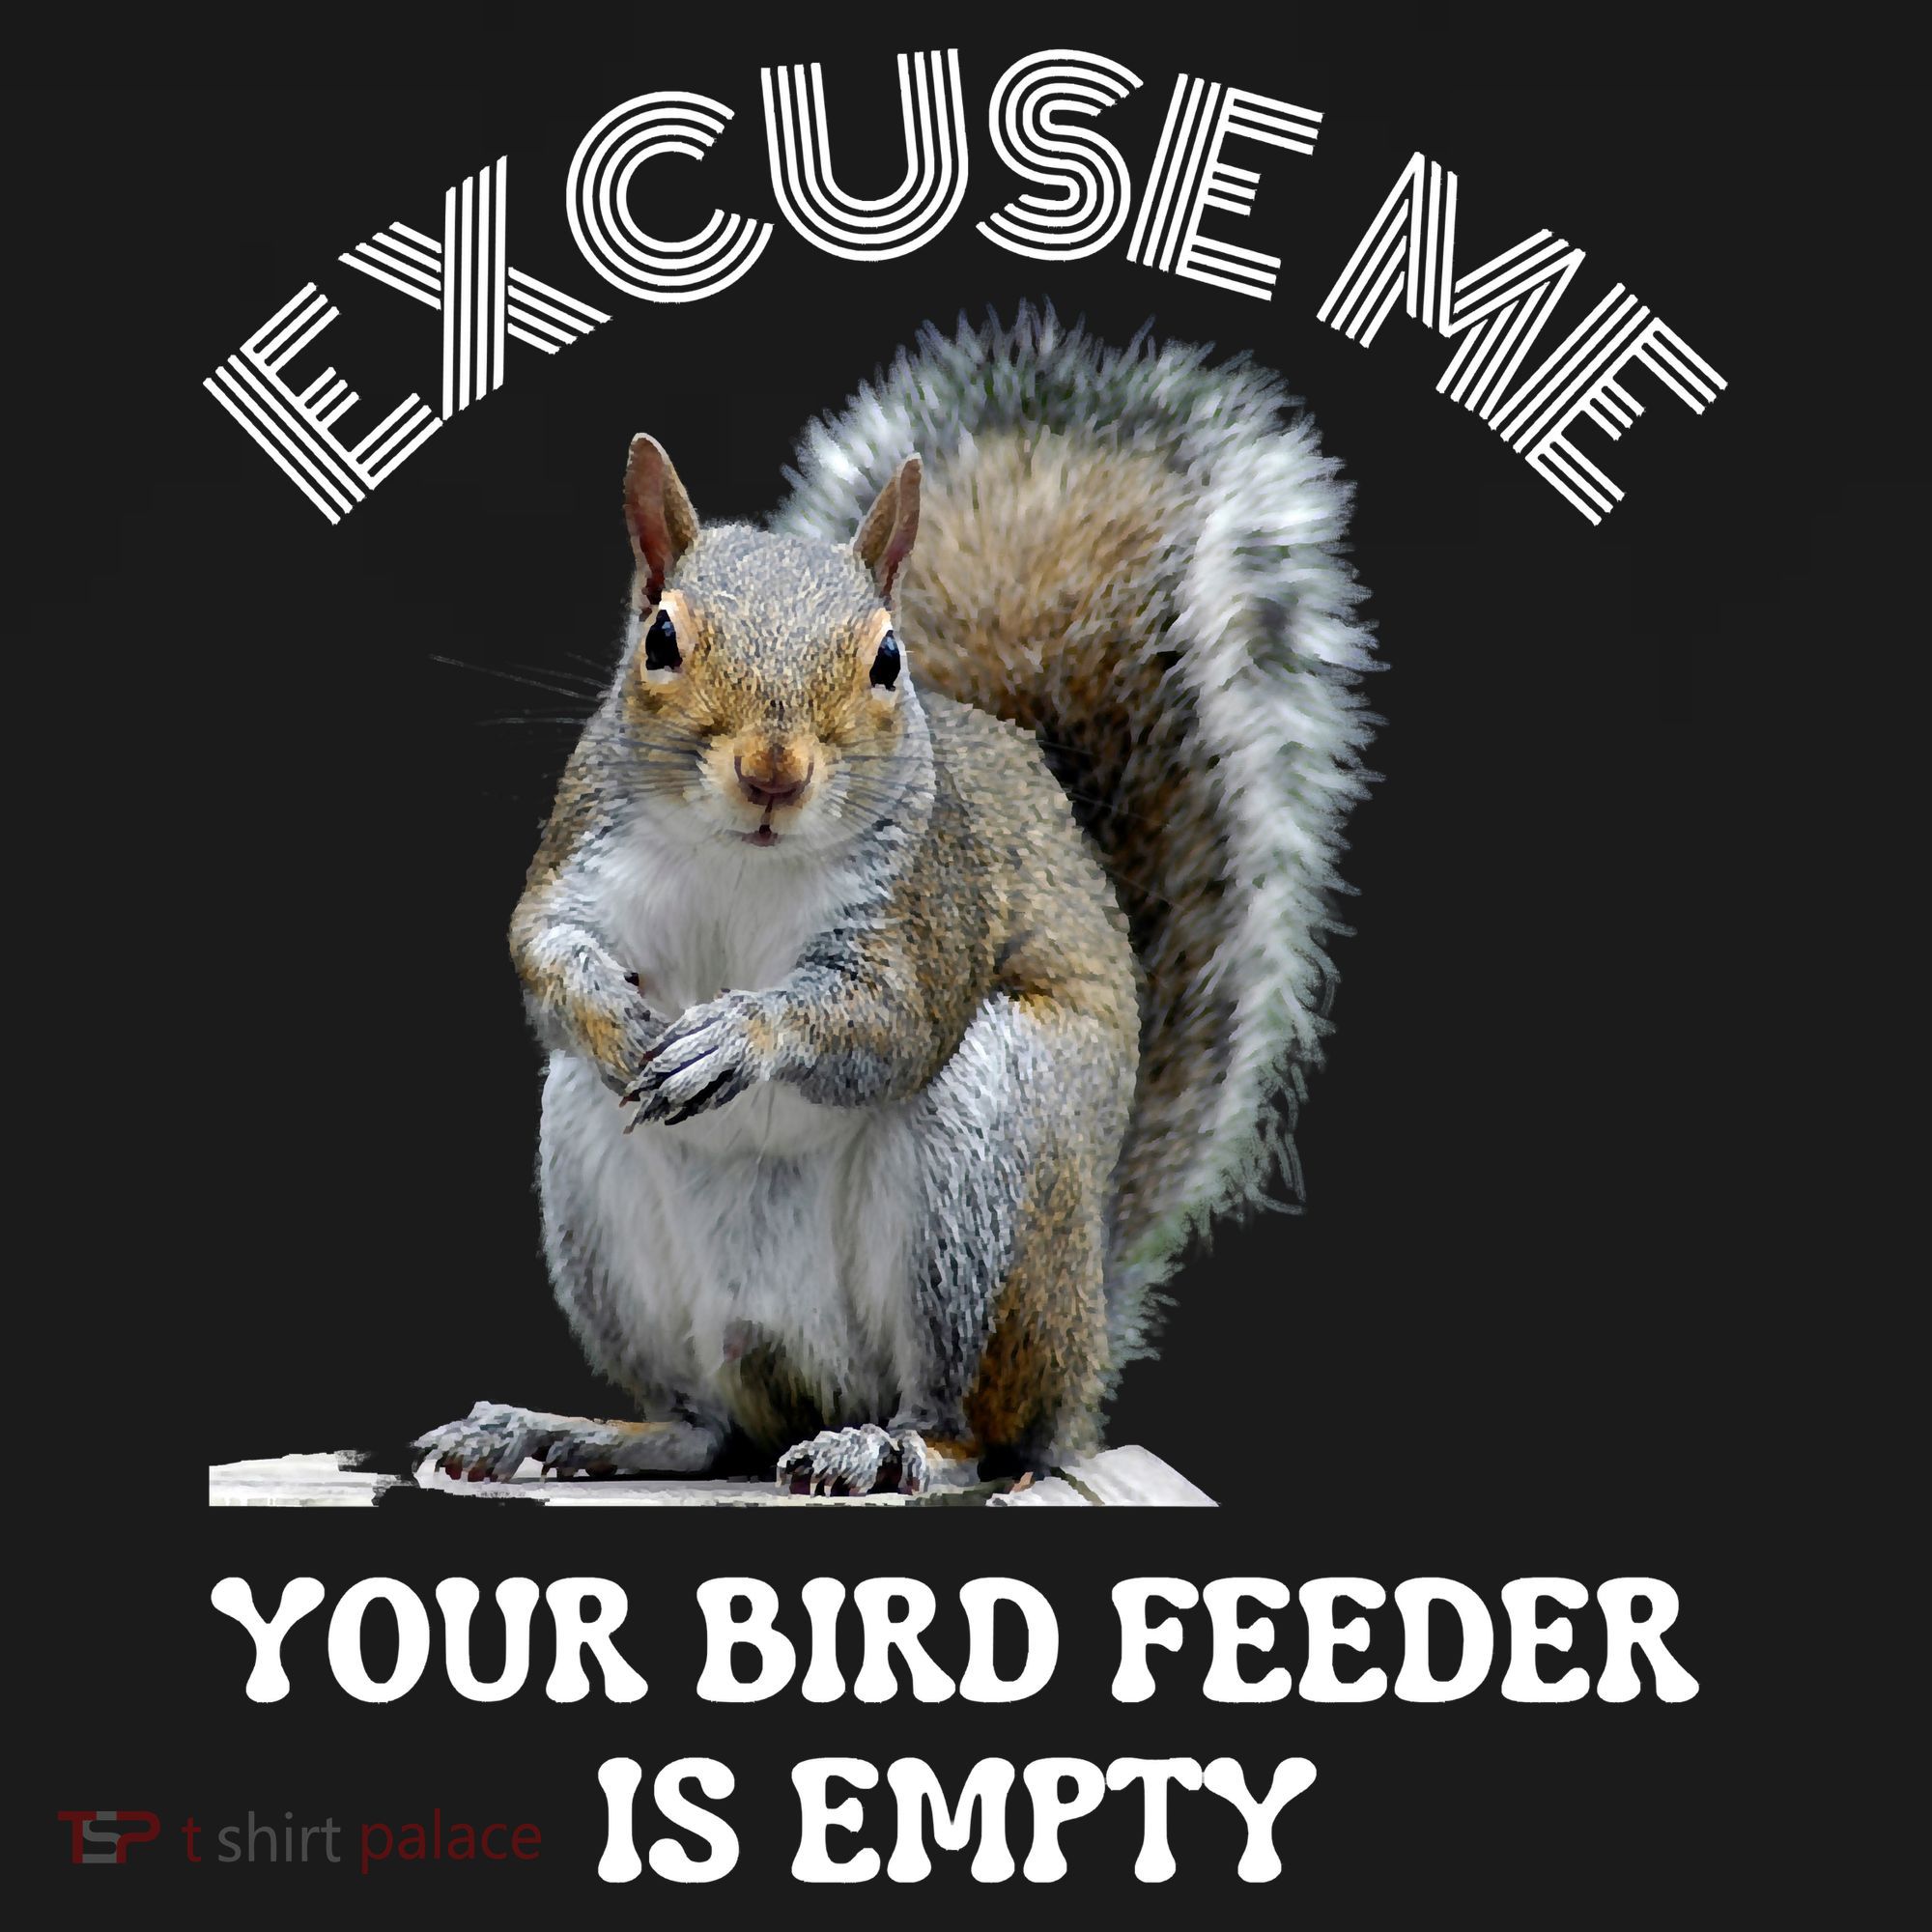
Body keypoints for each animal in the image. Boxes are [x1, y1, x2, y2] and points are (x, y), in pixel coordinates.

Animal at [415, 308, 1377, 1497]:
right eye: (660, 639)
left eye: (885, 657)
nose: (772, 772)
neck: (745, 857)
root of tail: (1083, 1346)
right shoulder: (584, 852)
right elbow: (542, 944)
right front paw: (614, 1015)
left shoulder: (927, 906)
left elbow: (891, 1019)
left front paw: (738, 1035)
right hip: (597, 1185)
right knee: (701, 1426)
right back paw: (564, 1431)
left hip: (985, 1168)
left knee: (974, 1425)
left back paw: (887, 1442)